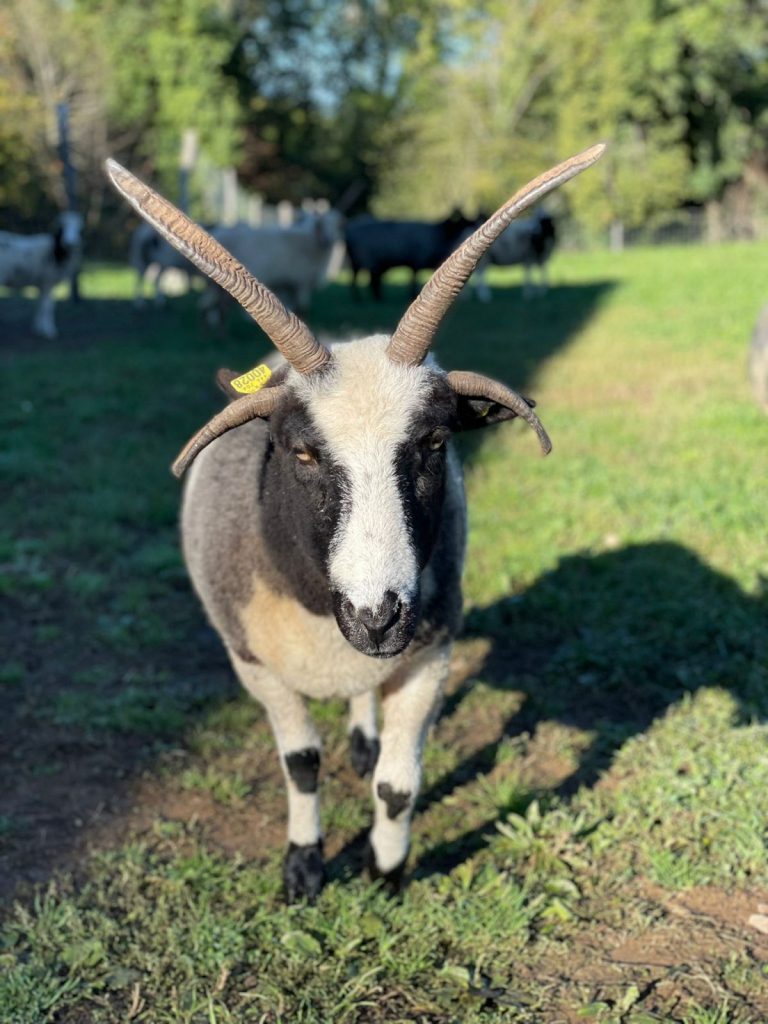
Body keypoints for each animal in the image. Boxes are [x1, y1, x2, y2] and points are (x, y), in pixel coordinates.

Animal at [0, 211, 82, 339]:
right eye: (62, 227)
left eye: (78, 228)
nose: (70, 243)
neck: (55, 251)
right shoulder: (48, 281)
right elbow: (48, 307)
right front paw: (49, 331)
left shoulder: (41, 284)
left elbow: (39, 305)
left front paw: (38, 328)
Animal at [105, 140, 606, 901]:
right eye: (301, 451)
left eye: (435, 442)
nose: (378, 617)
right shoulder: (255, 665)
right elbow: (301, 765)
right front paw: (304, 867)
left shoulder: (430, 654)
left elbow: (398, 786)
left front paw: (387, 871)